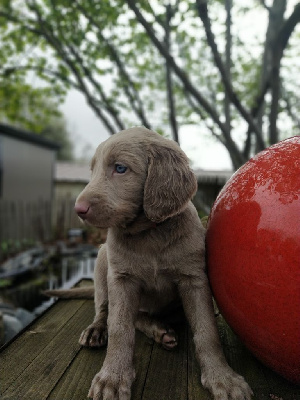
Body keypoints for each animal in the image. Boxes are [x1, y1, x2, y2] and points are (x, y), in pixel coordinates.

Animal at [48, 128, 252, 400]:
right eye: (93, 170)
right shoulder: (121, 278)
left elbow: (207, 330)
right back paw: (101, 329)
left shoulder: (194, 279)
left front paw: (223, 378)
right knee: (106, 309)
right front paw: (112, 379)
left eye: (120, 168)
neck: (148, 235)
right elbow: (119, 327)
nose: (78, 209)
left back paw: (160, 330)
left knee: (141, 316)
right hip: (102, 261)